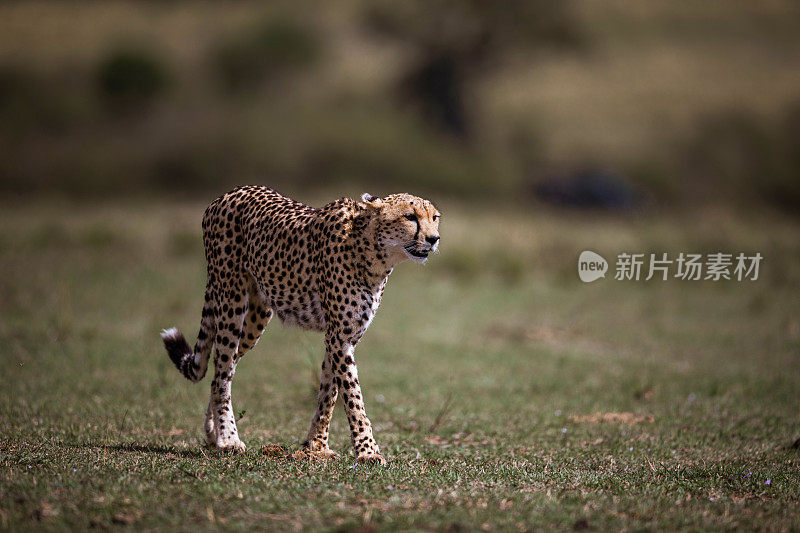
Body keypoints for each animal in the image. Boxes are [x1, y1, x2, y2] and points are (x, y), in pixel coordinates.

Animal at [159, 185, 440, 464]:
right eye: (410, 217)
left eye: (435, 217)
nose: (434, 238)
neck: (373, 252)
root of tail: (229, 193)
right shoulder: (340, 337)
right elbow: (353, 398)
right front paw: (367, 451)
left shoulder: (341, 336)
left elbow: (329, 391)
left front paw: (316, 446)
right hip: (231, 299)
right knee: (223, 373)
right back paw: (228, 439)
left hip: (255, 318)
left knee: (221, 368)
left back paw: (212, 433)